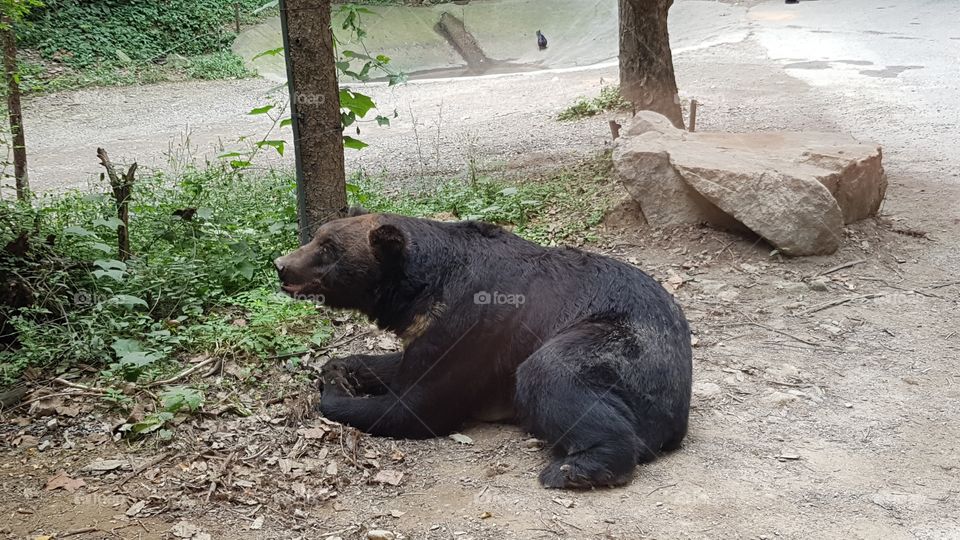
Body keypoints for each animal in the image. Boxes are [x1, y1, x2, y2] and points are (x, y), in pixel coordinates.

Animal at [274, 211, 692, 489]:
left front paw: (334, 392)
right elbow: (399, 367)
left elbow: (414, 407)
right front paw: (341, 368)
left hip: (616, 342)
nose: (281, 264)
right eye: (316, 237)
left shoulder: (471, 327)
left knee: (549, 372)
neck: (420, 292)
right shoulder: (427, 331)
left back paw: (571, 469)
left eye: (327, 248)